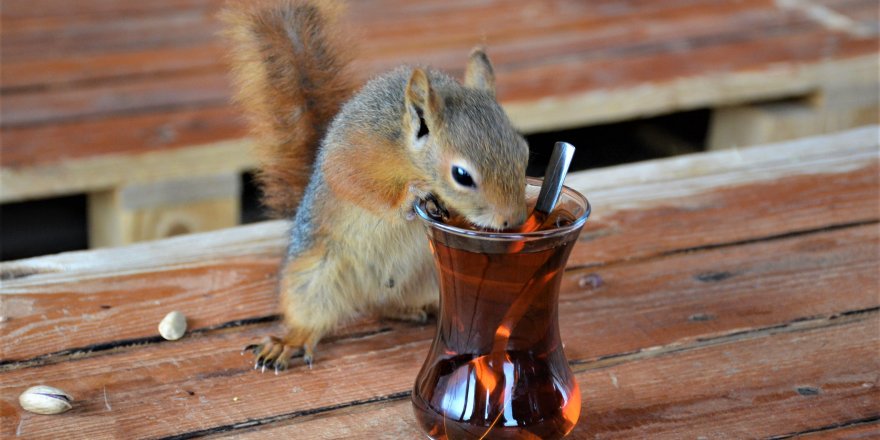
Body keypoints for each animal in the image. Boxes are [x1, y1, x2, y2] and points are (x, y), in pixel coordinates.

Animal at [223, 0, 532, 372]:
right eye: (461, 175)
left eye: (524, 151)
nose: (514, 220)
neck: (406, 152)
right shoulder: (354, 151)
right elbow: (355, 183)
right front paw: (411, 196)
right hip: (314, 276)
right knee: (312, 315)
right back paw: (289, 341)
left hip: (429, 277)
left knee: (388, 306)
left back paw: (418, 309)